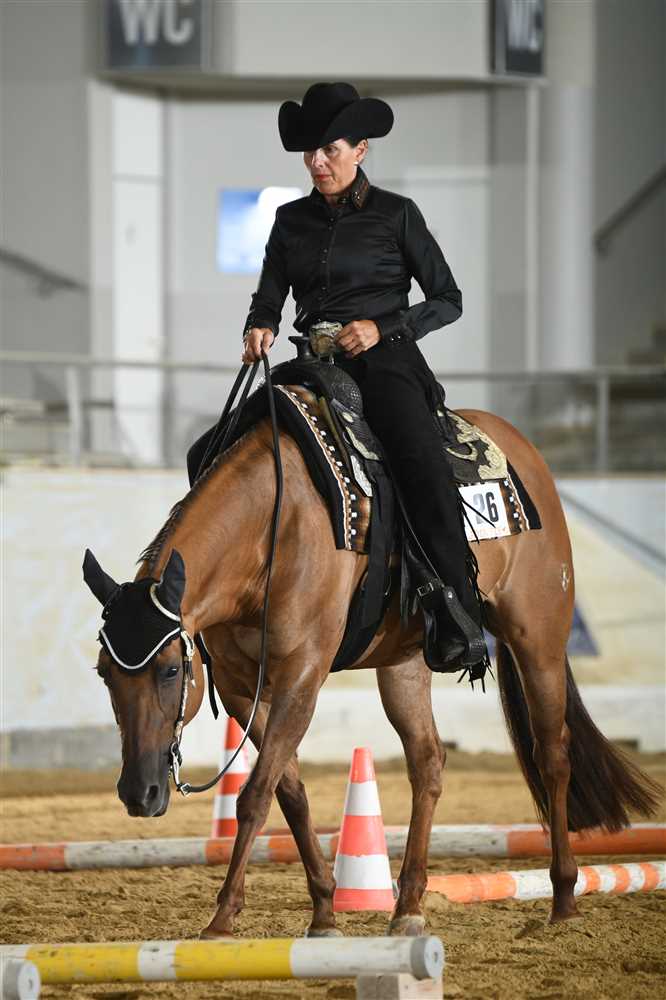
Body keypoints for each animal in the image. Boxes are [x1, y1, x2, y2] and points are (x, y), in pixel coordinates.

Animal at [83, 402, 661, 939]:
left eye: (169, 671)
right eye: (104, 673)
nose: (139, 793)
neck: (272, 531)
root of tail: (522, 448)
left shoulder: (302, 674)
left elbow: (255, 795)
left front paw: (223, 917)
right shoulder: (242, 686)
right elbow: (289, 792)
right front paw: (323, 910)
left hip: (537, 637)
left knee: (553, 756)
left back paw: (563, 899)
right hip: (405, 664)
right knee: (428, 763)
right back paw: (408, 907)